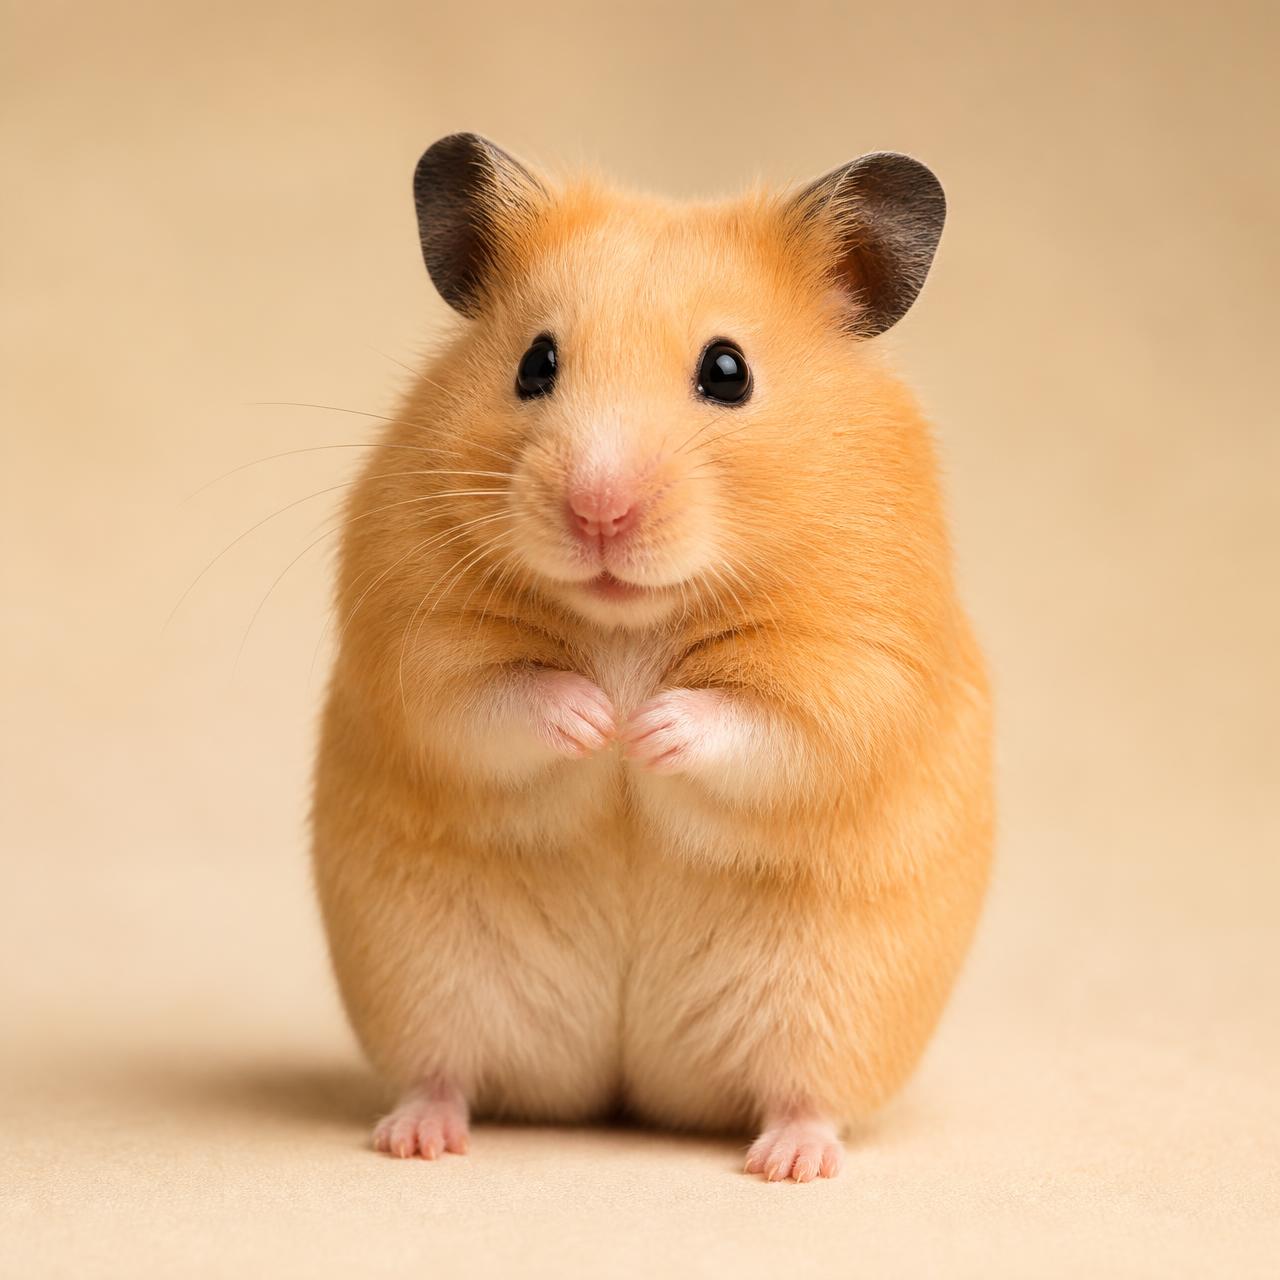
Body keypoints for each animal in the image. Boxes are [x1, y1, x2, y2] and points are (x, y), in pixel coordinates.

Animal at [311, 133, 993, 1182]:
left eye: (728, 371)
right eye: (535, 363)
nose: (598, 509)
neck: (631, 624)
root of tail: (626, 1087)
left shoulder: (856, 660)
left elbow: (769, 723)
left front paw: (646, 729)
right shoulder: (413, 638)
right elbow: (488, 698)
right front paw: (600, 722)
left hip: (833, 1004)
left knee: (808, 1097)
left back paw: (790, 1162)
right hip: (423, 978)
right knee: (442, 1073)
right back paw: (417, 1138)